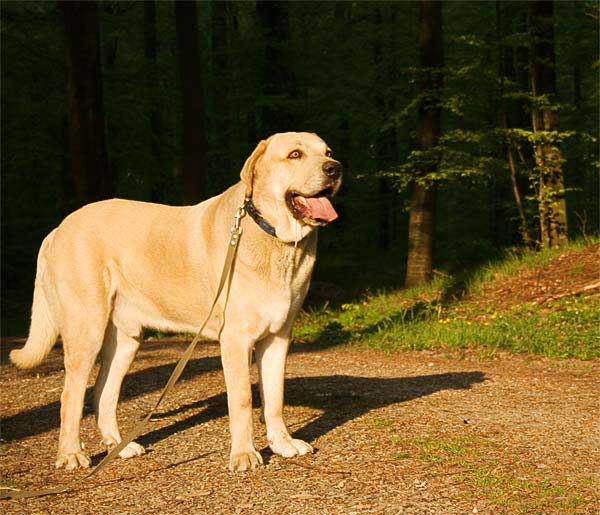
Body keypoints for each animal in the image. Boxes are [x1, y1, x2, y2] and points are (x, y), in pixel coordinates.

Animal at [10, 132, 342, 472]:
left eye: (328, 152)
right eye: (294, 154)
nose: (335, 168)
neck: (276, 239)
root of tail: (58, 228)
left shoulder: (278, 337)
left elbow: (275, 397)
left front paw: (283, 444)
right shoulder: (235, 339)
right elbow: (242, 399)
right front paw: (244, 454)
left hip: (125, 340)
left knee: (103, 392)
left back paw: (119, 446)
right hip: (85, 329)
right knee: (70, 396)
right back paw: (71, 454)